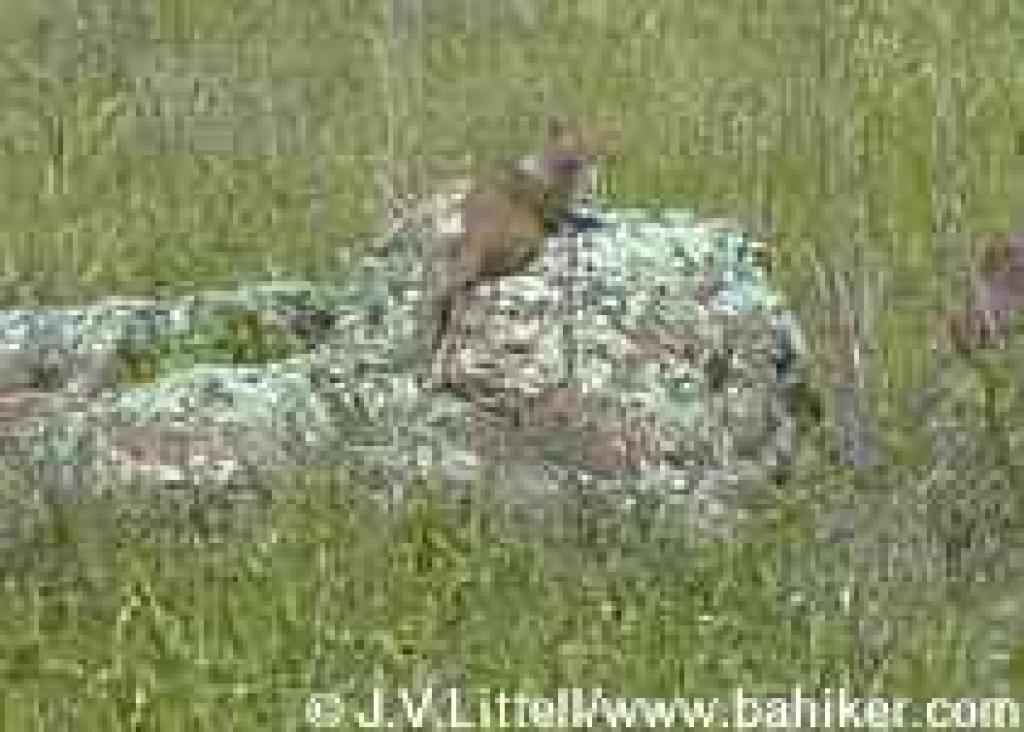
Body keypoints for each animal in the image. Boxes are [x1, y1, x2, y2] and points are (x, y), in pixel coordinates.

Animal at [429, 116, 615, 354]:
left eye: (589, 141)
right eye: (575, 142)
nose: (596, 155)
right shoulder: (553, 202)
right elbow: (562, 217)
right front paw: (583, 222)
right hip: (524, 241)